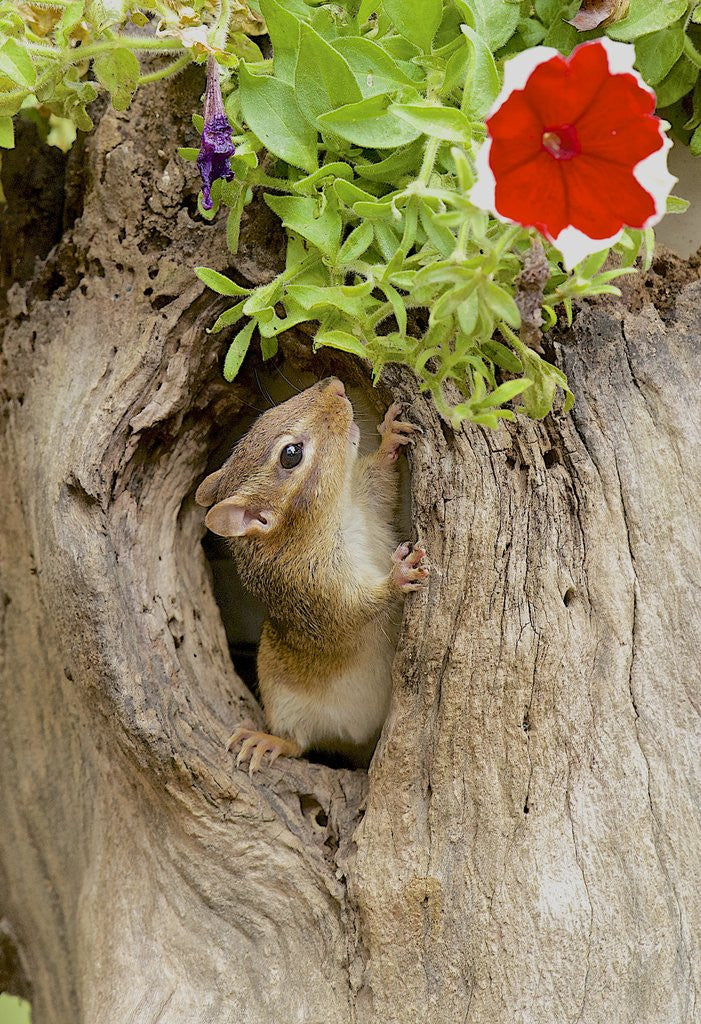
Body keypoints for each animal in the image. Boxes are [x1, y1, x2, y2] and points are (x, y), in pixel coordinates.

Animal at [195, 376, 429, 774]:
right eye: (291, 454)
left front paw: (390, 438)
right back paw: (266, 740)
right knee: (297, 743)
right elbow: (354, 608)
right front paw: (399, 575)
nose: (334, 385)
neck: (335, 513)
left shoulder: (368, 499)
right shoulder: (314, 588)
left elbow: (382, 481)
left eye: (266, 415)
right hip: (285, 705)